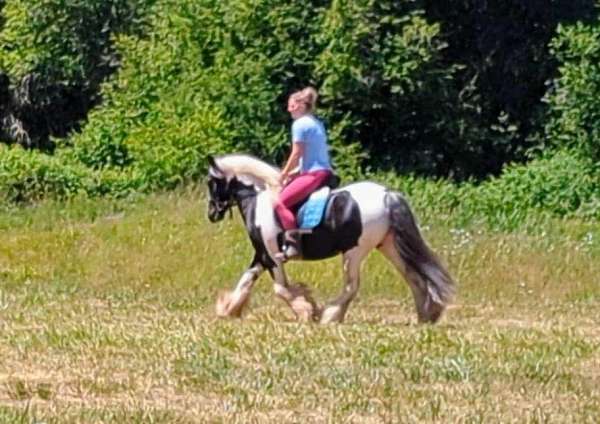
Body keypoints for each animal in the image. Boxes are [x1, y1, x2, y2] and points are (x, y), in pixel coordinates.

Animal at [206, 154, 454, 322]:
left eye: (212, 183)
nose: (211, 214)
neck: (257, 201)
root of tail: (387, 195)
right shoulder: (262, 255)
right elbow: (246, 280)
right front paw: (228, 308)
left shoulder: (272, 256)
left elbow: (281, 289)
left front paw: (307, 310)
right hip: (389, 245)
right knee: (414, 277)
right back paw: (426, 315)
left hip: (354, 251)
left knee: (352, 287)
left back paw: (330, 315)